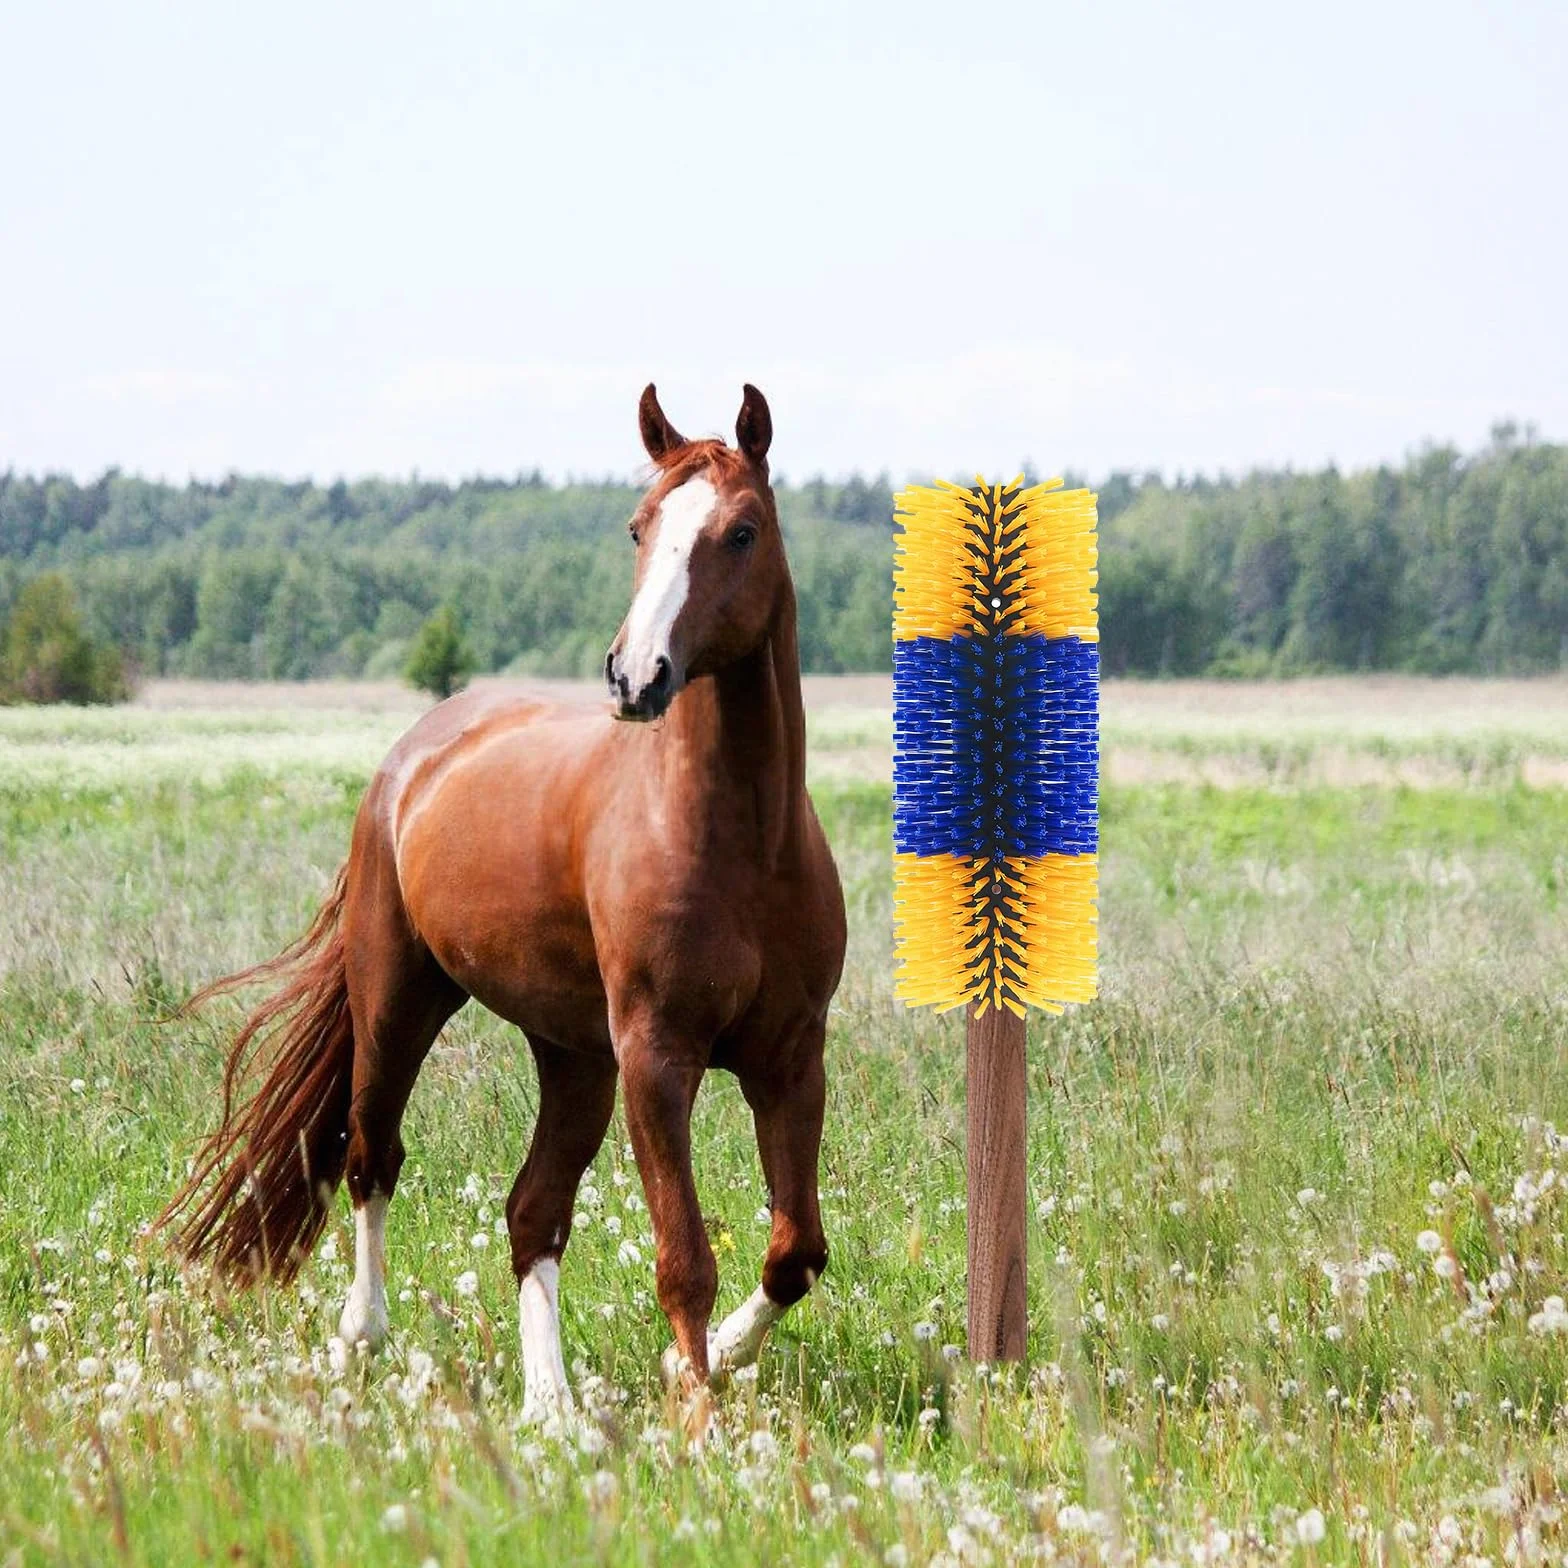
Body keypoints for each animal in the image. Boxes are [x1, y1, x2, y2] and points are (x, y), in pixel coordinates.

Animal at [160, 384, 847, 1424]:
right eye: (639, 526)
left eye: (741, 531)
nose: (635, 676)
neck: (743, 845)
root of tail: (412, 757)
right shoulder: (659, 1059)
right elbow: (685, 1258)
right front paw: (694, 1417)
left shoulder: (790, 1058)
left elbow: (796, 1249)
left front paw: (712, 1365)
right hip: (400, 1002)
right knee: (370, 1158)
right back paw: (363, 1338)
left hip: (573, 1057)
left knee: (534, 1213)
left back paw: (551, 1406)